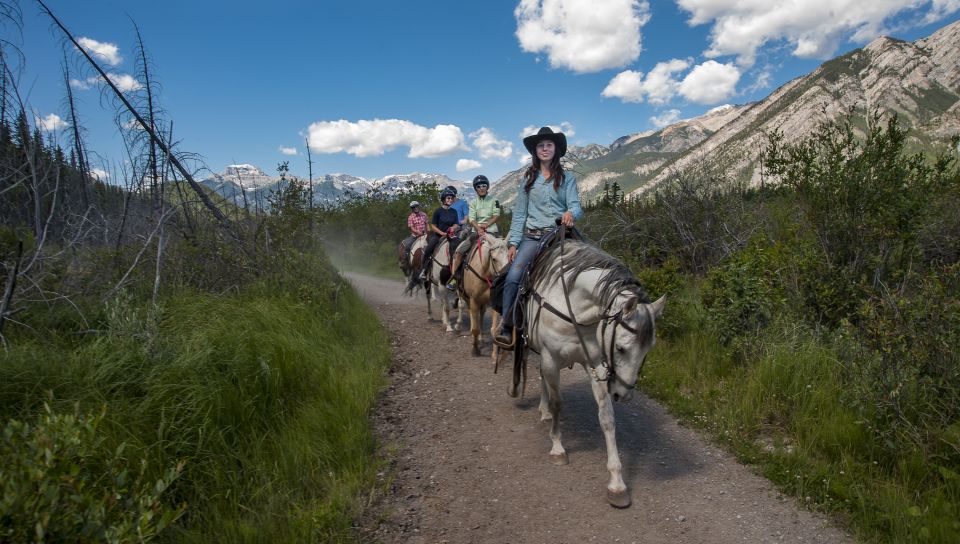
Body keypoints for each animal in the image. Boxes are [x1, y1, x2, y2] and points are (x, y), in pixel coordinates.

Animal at [512, 238, 664, 510]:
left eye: (648, 350)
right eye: (620, 348)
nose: (624, 395)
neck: (574, 309)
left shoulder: (594, 363)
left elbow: (607, 417)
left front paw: (617, 482)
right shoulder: (551, 359)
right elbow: (558, 403)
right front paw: (558, 448)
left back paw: (543, 411)